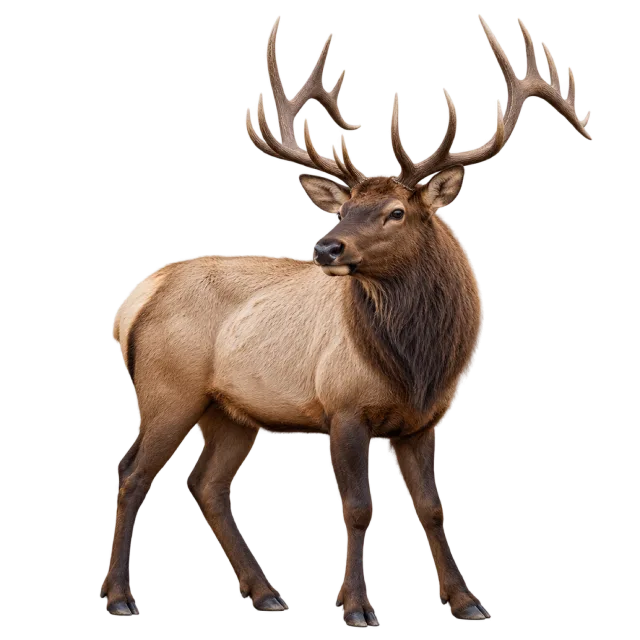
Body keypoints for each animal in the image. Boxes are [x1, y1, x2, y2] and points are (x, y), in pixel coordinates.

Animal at [100, 14, 592, 625]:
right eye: (343, 208)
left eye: (396, 211)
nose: (326, 246)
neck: (418, 367)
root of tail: (137, 296)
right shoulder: (344, 406)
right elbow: (358, 508)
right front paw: (356, 606)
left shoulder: (425, 421)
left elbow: (432, 508)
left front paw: (467, 602)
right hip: (168, 389)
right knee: (132, 473)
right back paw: (121, 598)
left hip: (231, 410)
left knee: (205, 482)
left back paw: (267, 594)